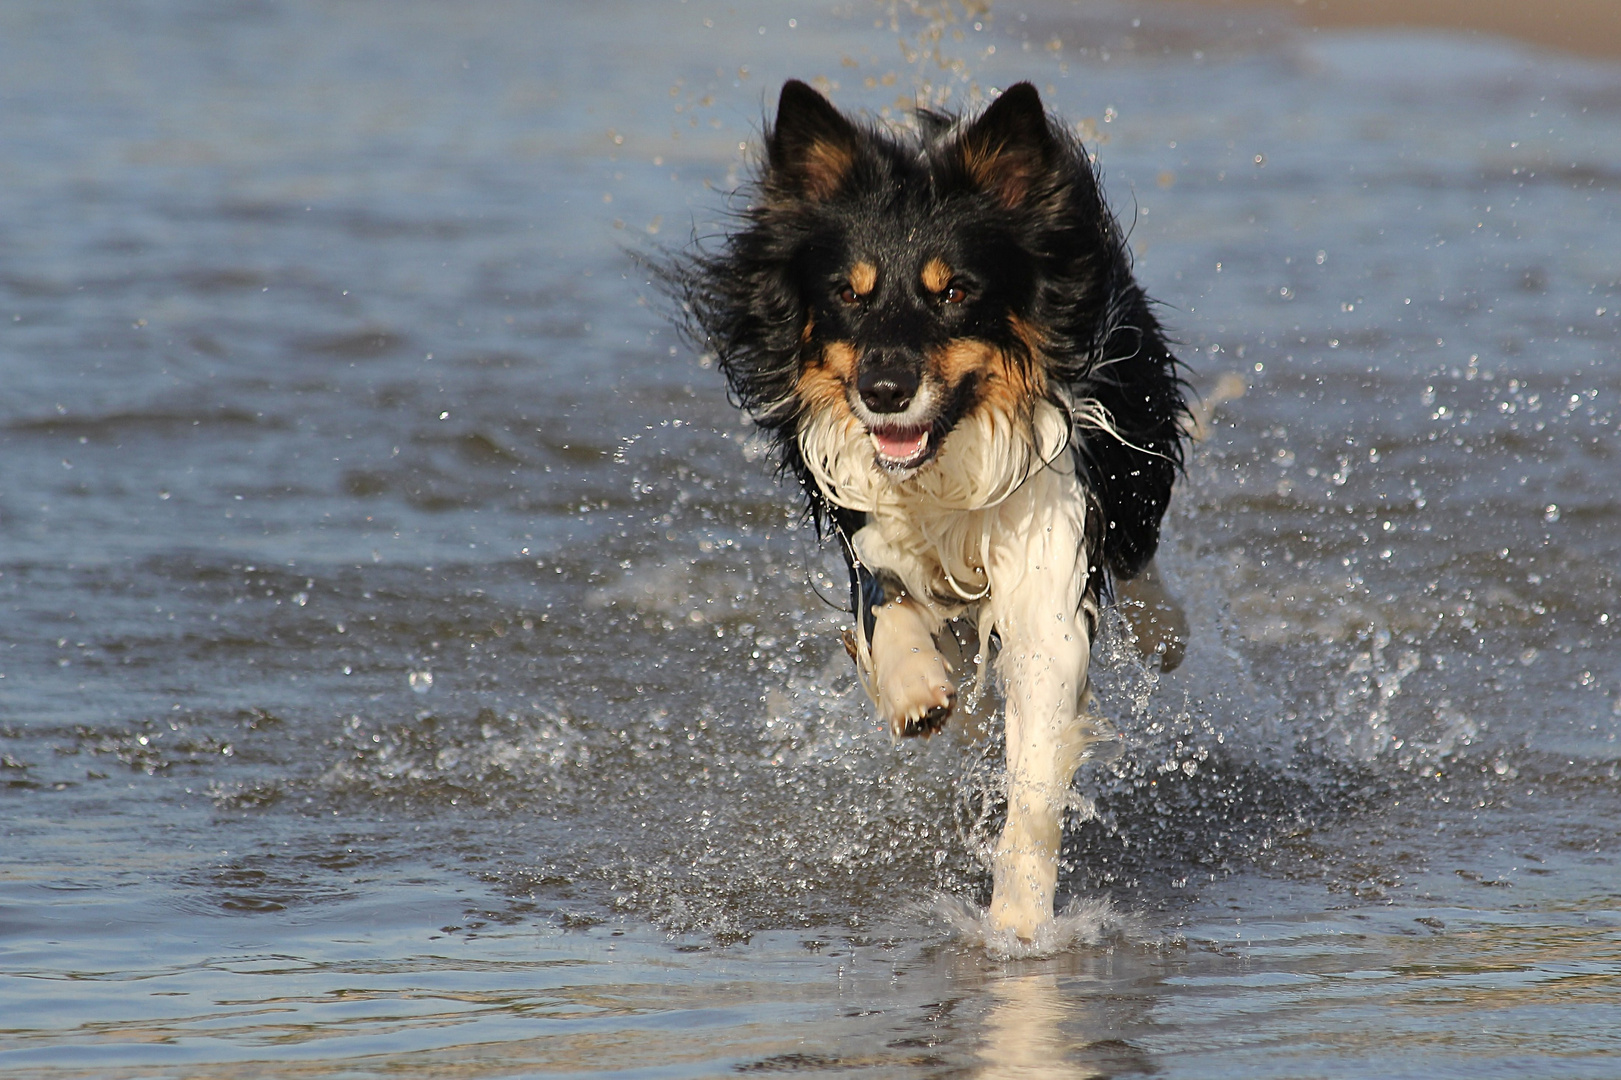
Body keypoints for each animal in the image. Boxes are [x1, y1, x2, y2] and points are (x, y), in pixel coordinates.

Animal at [667, 81, 1193, 940]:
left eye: (954, 292)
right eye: (847, 293)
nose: (883, 391)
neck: (949, 458)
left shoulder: (1047, 539)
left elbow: (1036, 765)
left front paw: (1016, 927)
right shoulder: (860, 515)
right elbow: (885, 604)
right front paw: (916, 689)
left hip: (1137, 444)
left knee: (1139, 552)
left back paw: (1166, 636)